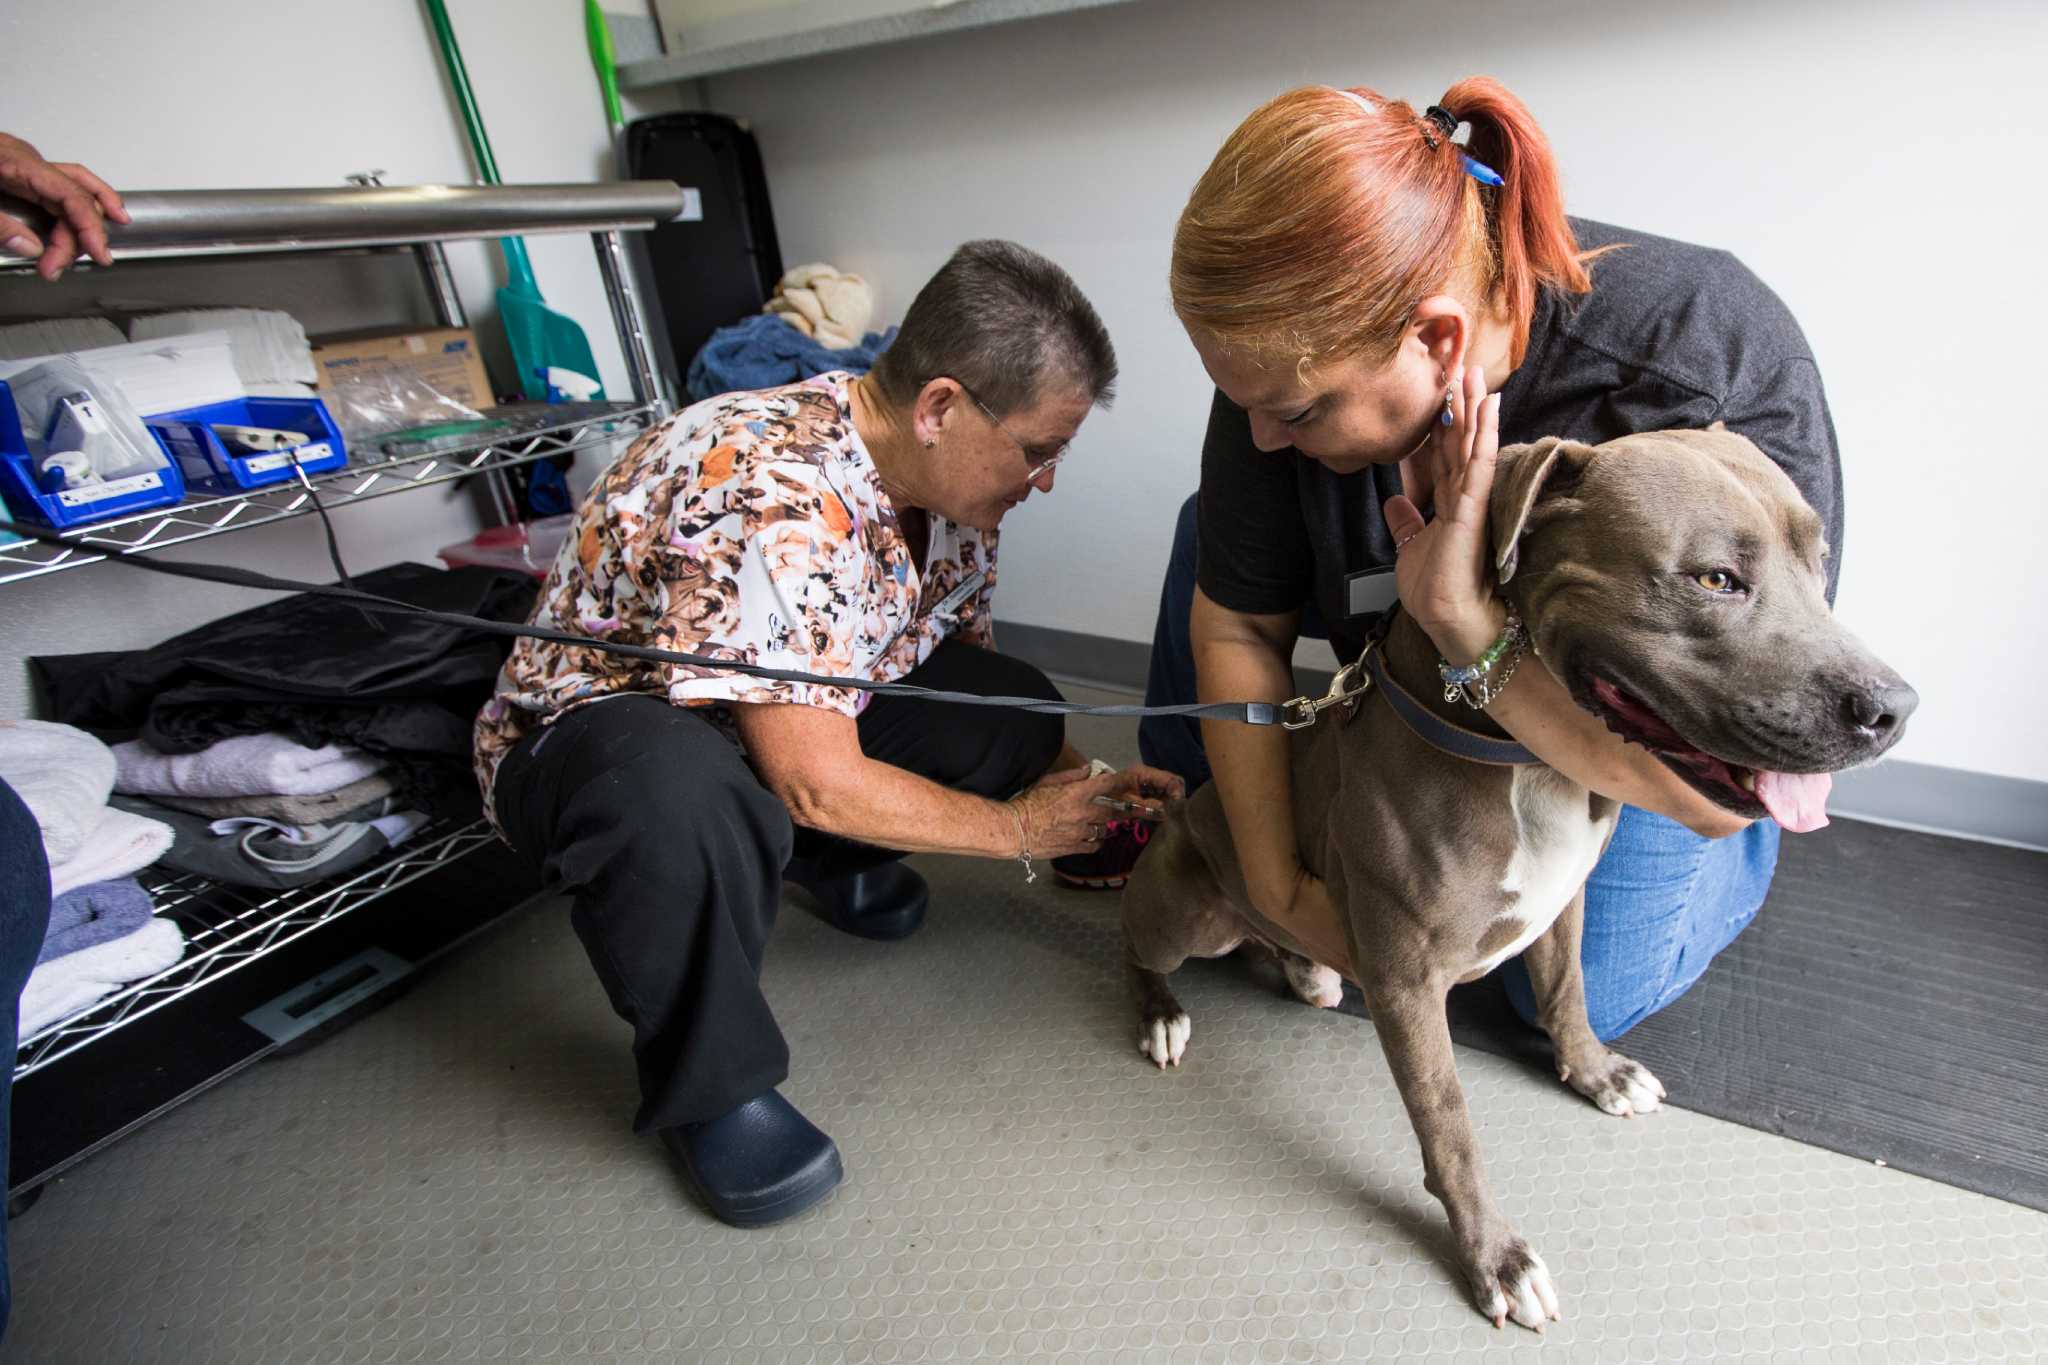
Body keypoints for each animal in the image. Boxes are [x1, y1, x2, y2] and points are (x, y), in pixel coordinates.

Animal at [1122, 429, 1916, 1334]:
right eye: (1715, 578)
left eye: (1819, 563)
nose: (1896, 707)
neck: (1523, 757)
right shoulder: (1407, 985)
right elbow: (1450, 1124)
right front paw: (1496, 1257)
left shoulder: (1562, 903)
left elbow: (1568, 992)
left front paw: (1597, 1071)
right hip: (1187, 906)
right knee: (1136, 947)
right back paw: (1161, 1013)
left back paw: (1303, 965)